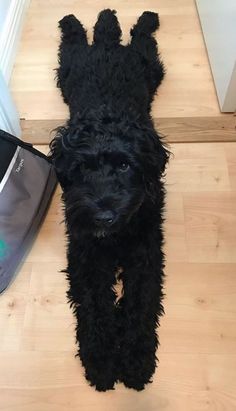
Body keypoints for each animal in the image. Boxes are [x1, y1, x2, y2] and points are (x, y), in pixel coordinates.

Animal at [48, 8, 169, 392]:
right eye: (83, 167)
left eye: (126, 165)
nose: (103, 216)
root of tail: (108, 47)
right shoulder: (85, 255)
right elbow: (93, 306)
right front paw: (101, 361)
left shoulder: (145, 254)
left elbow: (140, 306)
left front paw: (135, 361)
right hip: (69, 68)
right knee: (77, 39)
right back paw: (75, 21)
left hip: (150, 66)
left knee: (140, 36)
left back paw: (143, 17)